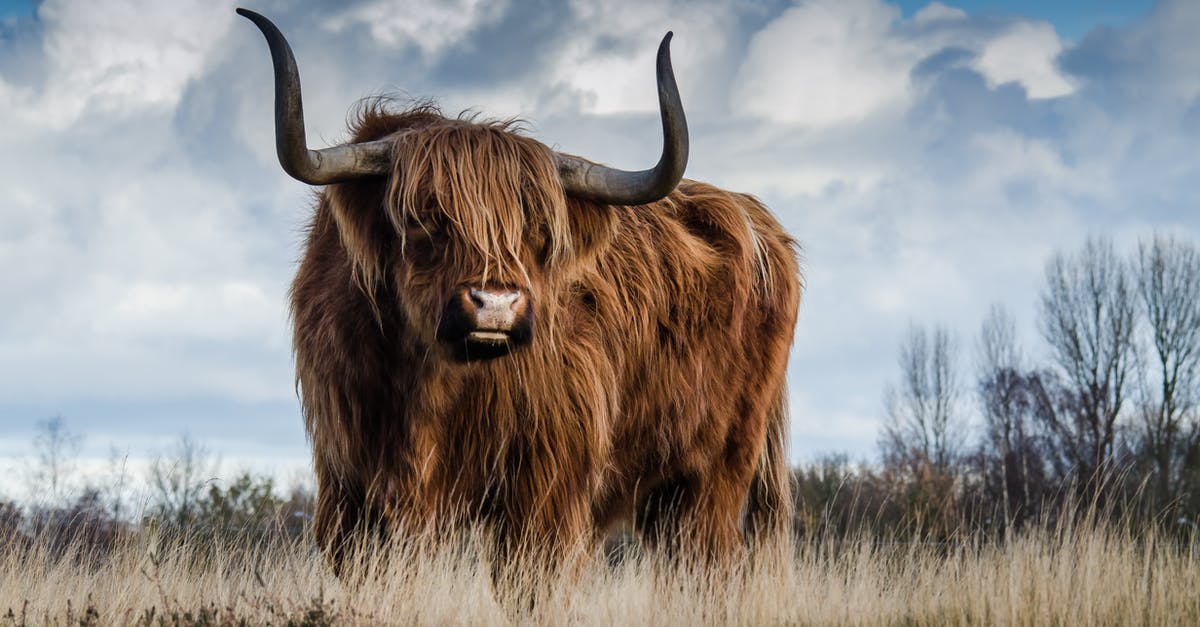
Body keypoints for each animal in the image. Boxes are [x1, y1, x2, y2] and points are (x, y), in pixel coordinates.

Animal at [236, 8, 796, 566]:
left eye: (539, 230)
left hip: (715, 473)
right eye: (425, 218)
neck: (427, 387)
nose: (496, 304)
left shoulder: (546, 487)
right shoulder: (349, 485)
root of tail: (758, 219)